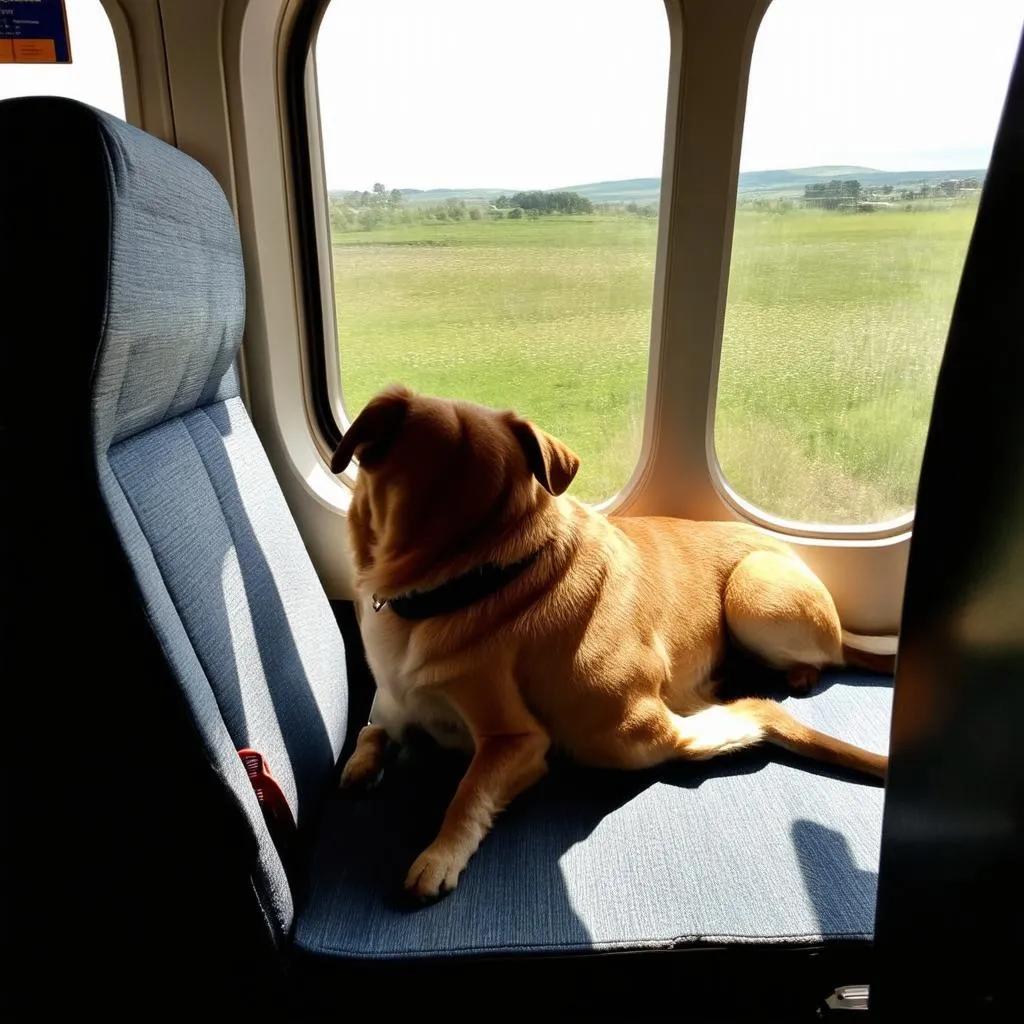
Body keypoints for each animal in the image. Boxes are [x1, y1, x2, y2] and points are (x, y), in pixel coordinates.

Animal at [331, 387, 892, 901]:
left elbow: (467, 794)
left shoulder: (515, 739)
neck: (471, 574)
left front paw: (440, 853)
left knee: (765, 699)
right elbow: (374, 726)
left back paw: (780, 688)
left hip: (741, 606)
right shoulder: (394, 698)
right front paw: (362, 762)